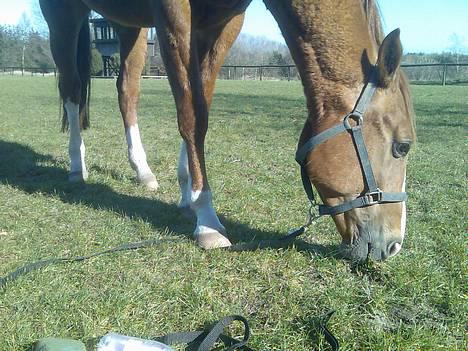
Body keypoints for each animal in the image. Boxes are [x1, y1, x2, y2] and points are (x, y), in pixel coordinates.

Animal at [39, 0, 414, 262]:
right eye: (403, 146)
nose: (394, 245)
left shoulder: (225, 21)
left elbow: (200, 99)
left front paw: (187, 193)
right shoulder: (174, 13)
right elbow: (193, 115)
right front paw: (206, 218)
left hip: (129, 25)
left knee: (127, 92)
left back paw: (142, 170)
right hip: (63, 14)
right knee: (72, 89)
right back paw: (77, 167)